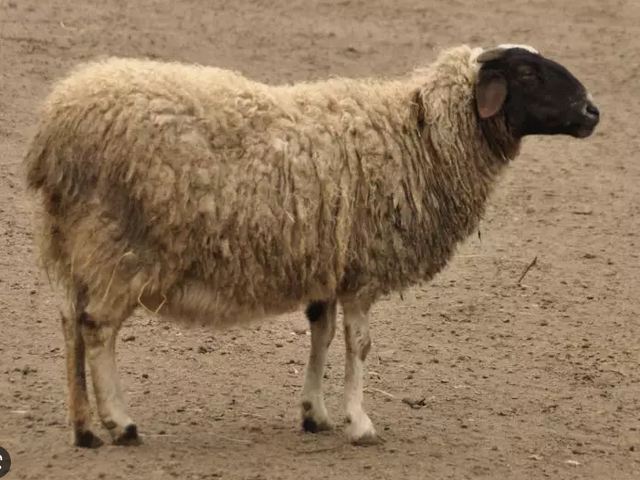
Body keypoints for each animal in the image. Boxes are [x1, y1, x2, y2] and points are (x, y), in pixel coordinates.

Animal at [23, 42, 600, 448]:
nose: (593, 112)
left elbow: (319, 333)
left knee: (71, 327)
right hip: (120, 245)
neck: (420, 137)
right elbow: (358, 345)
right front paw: (360, 423)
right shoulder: (364, 267)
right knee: (98, 331)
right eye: (527, 74)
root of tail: (54, 127)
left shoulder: (330, 260)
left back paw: (84, 429)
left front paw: (315, 414)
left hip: (76, 244)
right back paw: (120, 424)